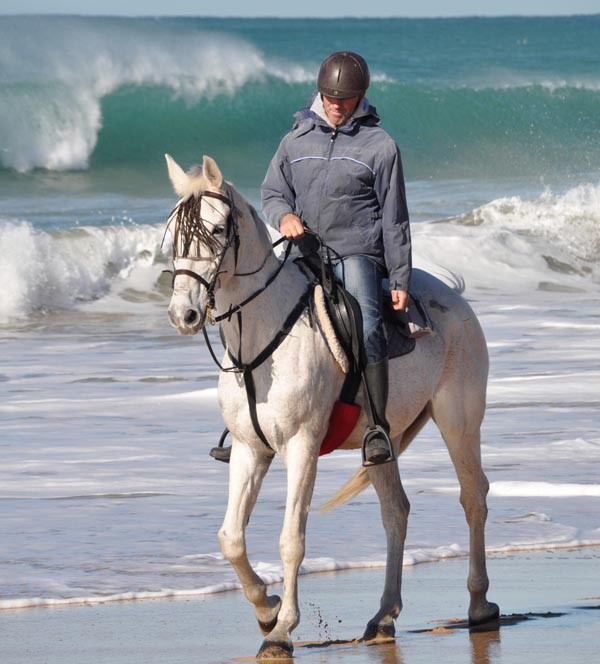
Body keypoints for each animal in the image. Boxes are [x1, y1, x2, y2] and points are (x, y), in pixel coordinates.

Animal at [163, 154, 496, 660]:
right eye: (175, 236)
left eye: (218, 230)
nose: (183, 314)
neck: (263, 340)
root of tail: (455, 297)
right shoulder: (249, 450)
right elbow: (231, 538)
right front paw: (266, 609)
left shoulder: (301, 448)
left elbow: (291, 540)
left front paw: (282, 630)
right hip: (384, 440)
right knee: (396, 512)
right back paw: (383, 616)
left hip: (459, 421)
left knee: (473, 497)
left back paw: (479, 605)